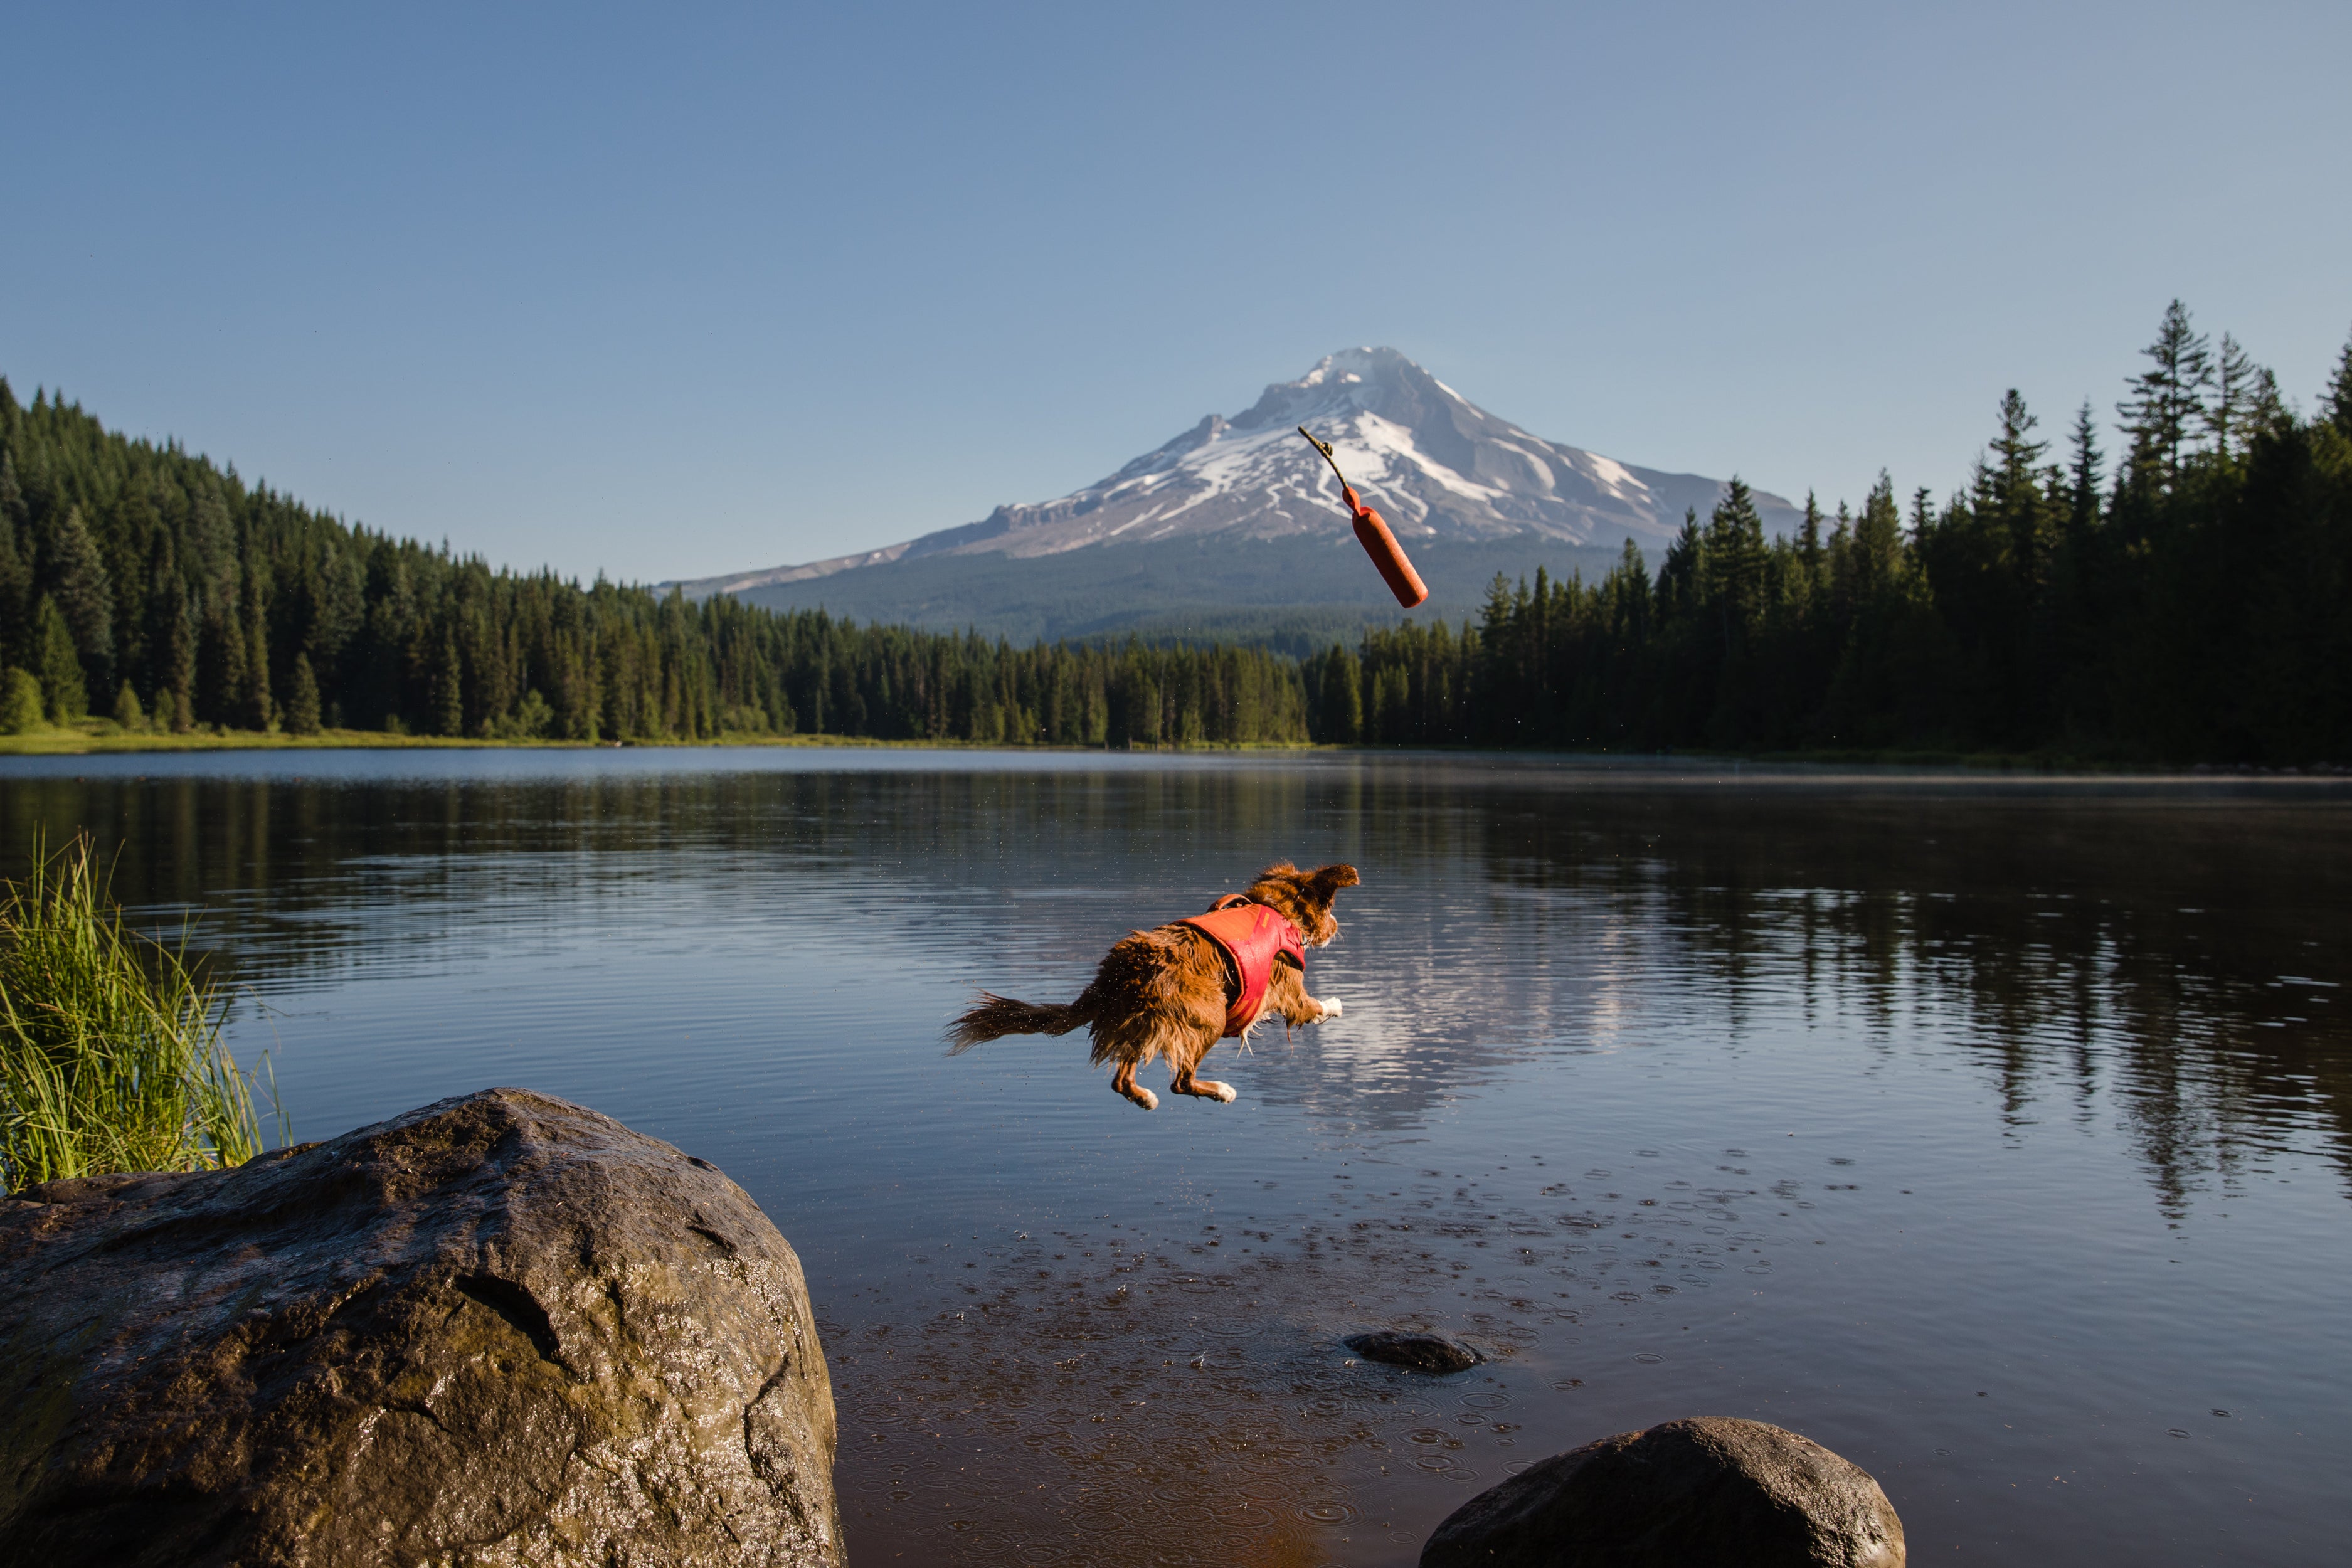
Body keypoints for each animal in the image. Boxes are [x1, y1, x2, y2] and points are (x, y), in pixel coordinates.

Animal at [945, 865, 1364, 1110]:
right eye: (1330, 909)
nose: (1338, 927)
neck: (1275, 910)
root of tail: (1114, 975)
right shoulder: (1290, 992)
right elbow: (1313, 1007)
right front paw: (1336, 1004)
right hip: (1208, 1017)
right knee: (1181, 1081)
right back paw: (1221, 1091)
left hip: (1141, 1021)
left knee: (1121, 1080)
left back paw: (1144, 1098)